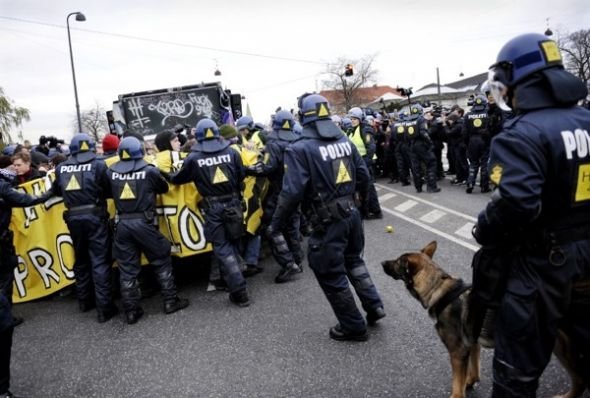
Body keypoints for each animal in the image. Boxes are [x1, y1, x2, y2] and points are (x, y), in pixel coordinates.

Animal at [384, 241, 588, 398]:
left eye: (397, 262)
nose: (381, 263)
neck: (437, 288)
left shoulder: (457, 353)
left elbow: (456, 385)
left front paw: (457, 393)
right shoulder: (473, 345)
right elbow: (472, 371)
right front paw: (470, 383)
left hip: (561, 349)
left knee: (580, 378)